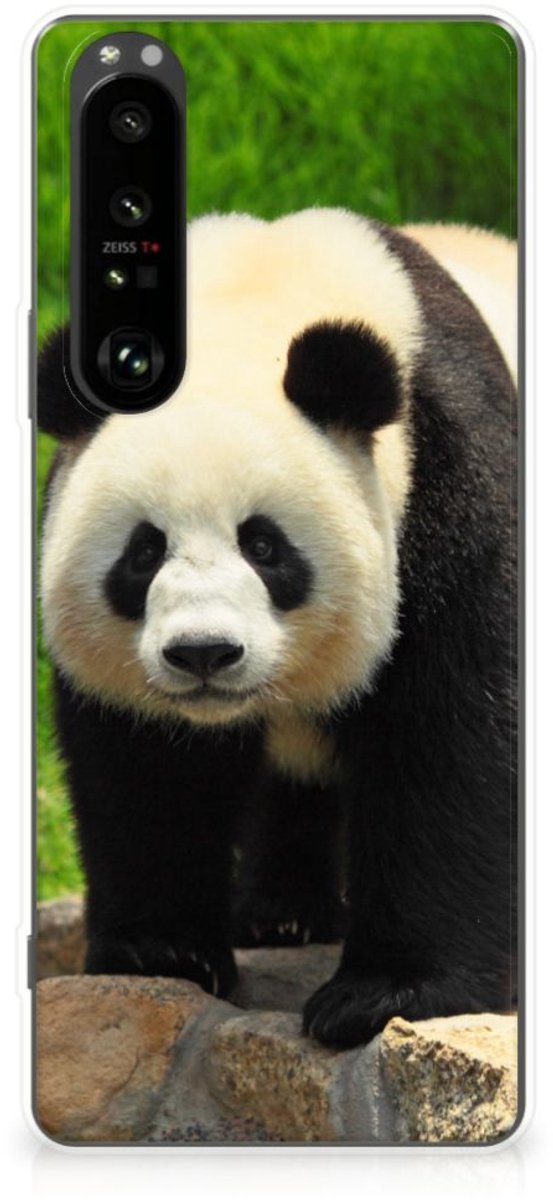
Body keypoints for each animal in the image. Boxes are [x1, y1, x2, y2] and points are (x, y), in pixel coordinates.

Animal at [38, 208, 517, 1050]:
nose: (203, 653)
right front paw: (162, 953)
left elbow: (450, 737)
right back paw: (282, 915)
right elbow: (145, 767)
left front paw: (386, 993)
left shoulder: (450, 481)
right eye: (143, 552)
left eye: (263, 546)